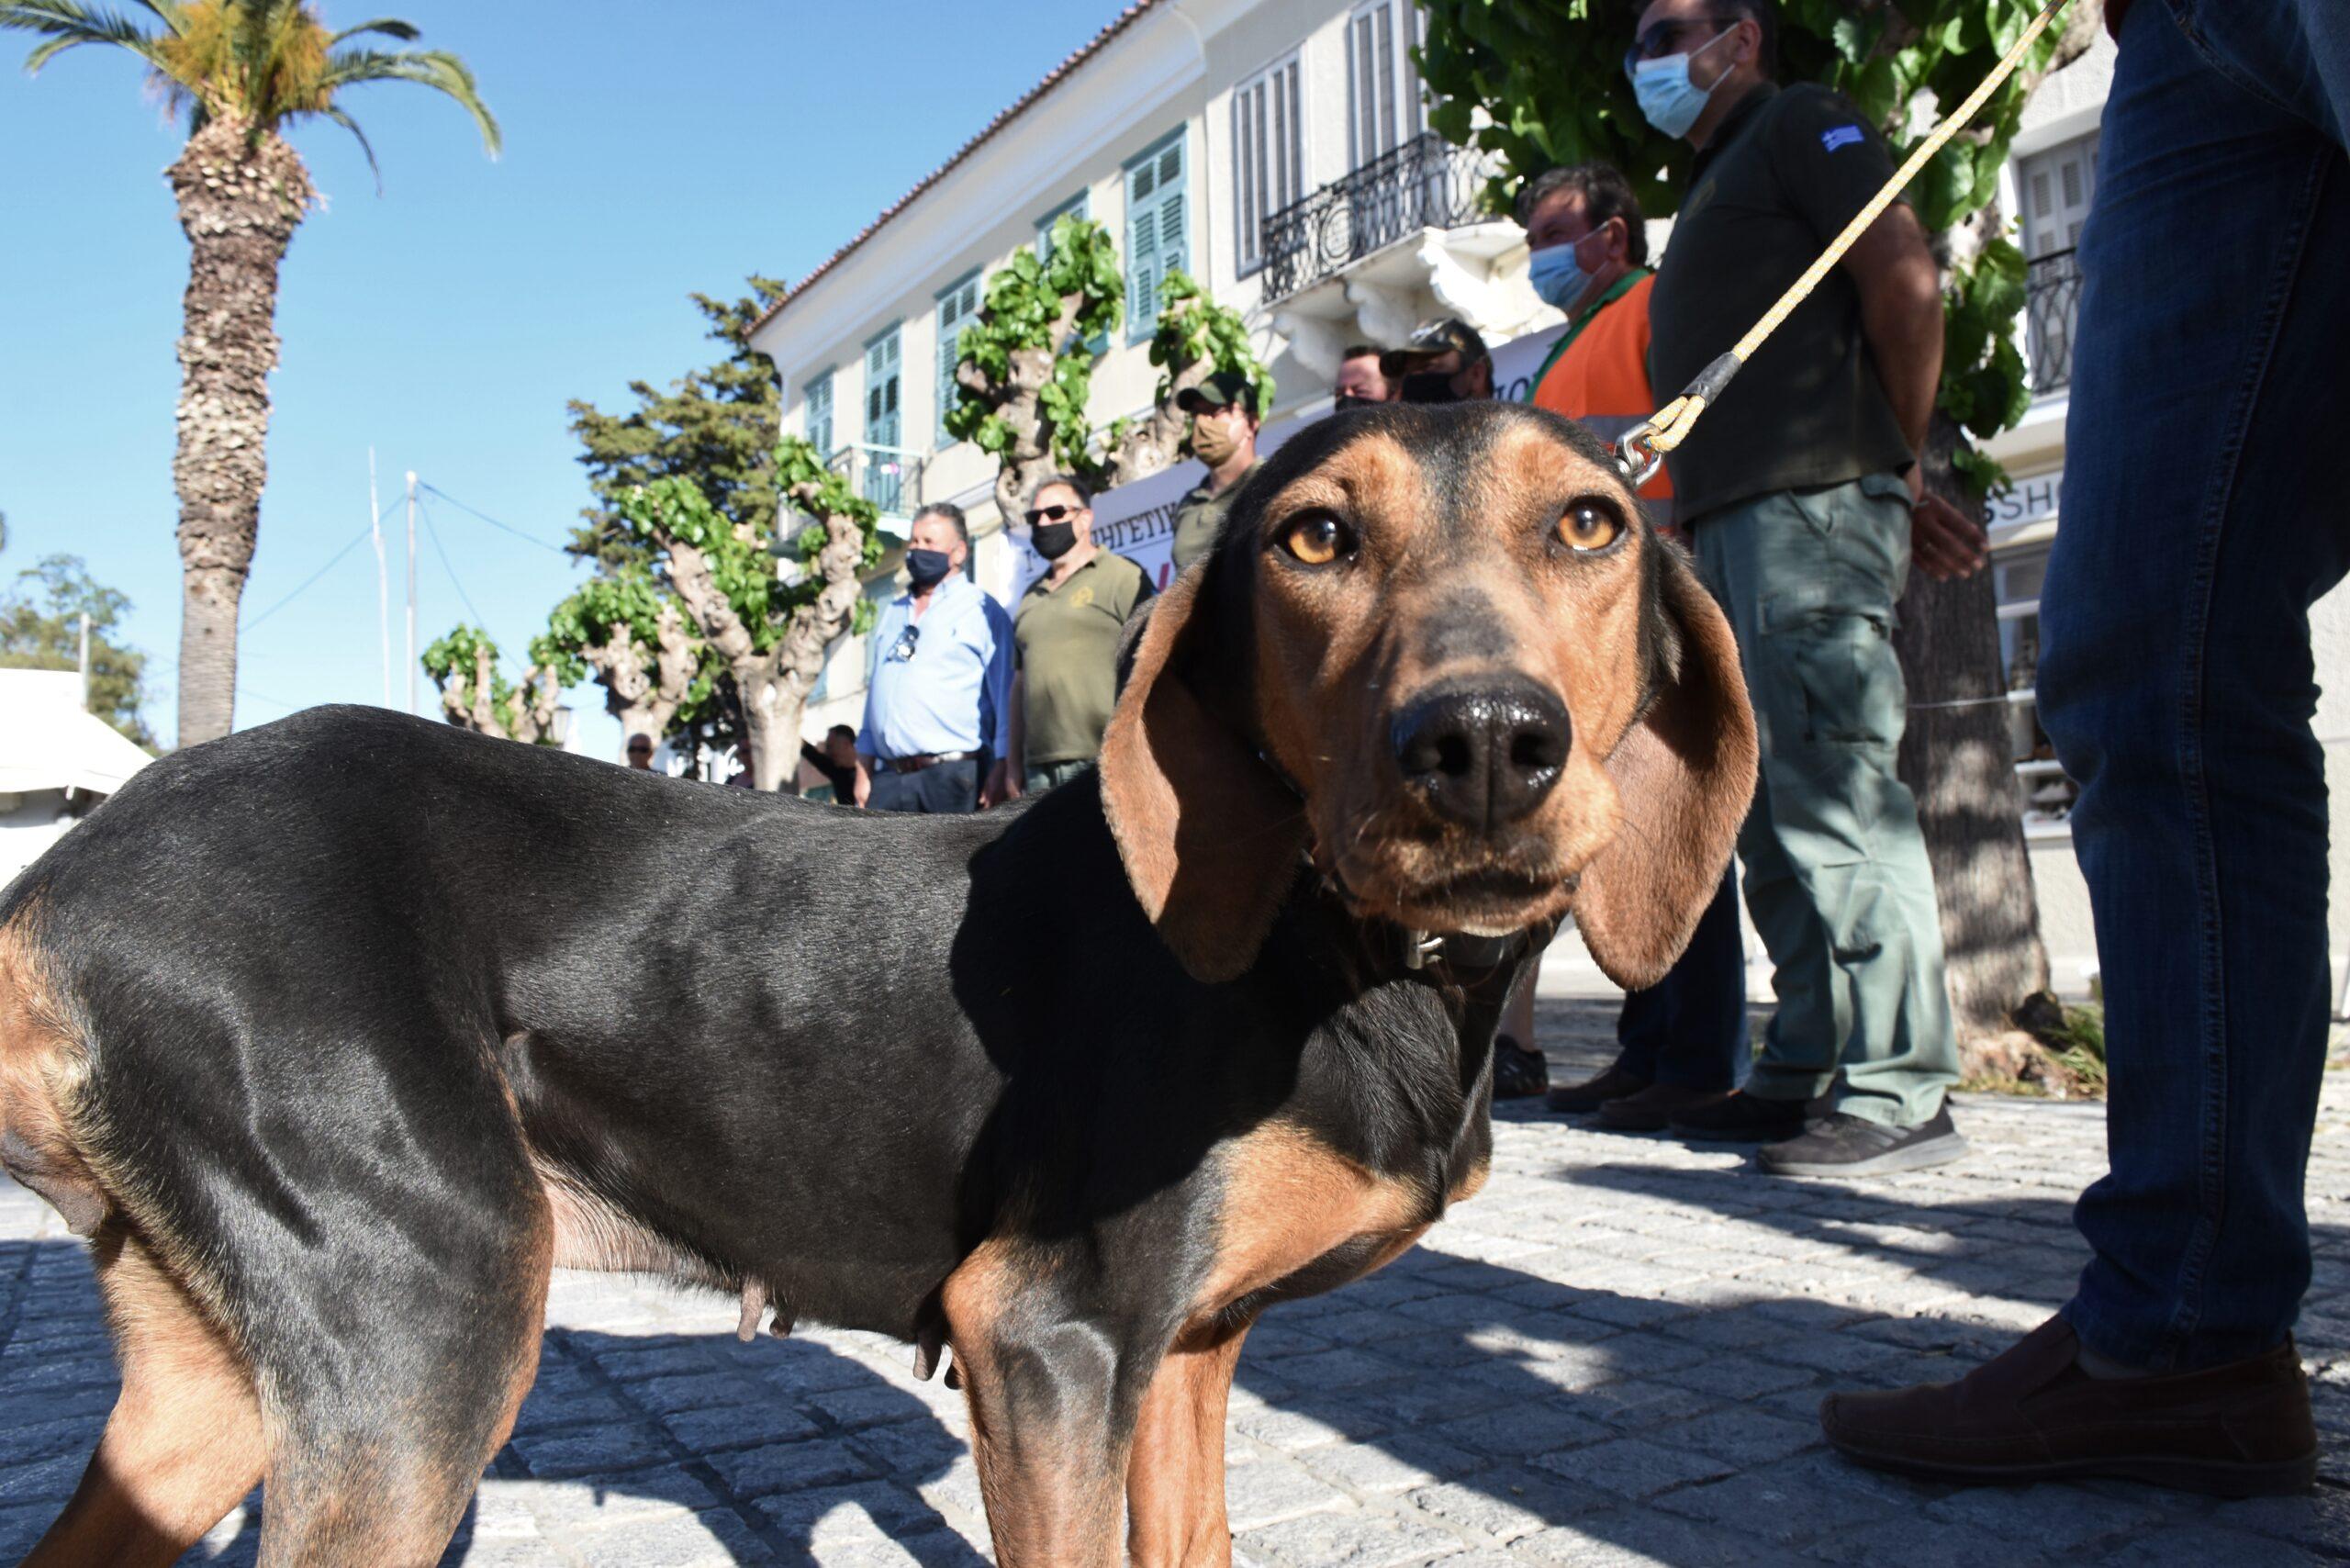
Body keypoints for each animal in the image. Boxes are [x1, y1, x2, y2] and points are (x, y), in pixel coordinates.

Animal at [0, 399, 1757, 1561]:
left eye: (1590, 522)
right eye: (1315, 534)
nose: (1484, 745)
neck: (1341, 949)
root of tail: (66, 871)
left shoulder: (1185, 1351)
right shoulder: (1045, 1338)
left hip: (221, 1386)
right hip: (422, 1329)